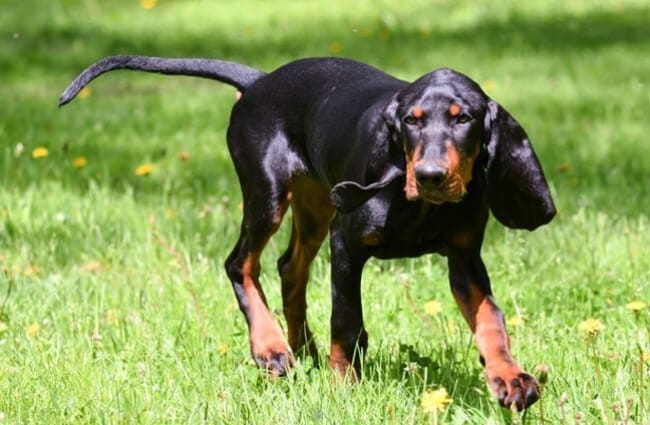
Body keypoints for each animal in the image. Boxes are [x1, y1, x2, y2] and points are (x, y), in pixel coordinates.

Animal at [59, 54, 552, 410]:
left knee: (288, 267)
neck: (420, 208)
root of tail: (260, 81)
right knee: (240, 263)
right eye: (411, 121)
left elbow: (491, 320)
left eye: (463, 118)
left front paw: (509, 378)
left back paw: (302, 345)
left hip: (316, 207)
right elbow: (346, 322)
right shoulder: (346, 245)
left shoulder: (465, 260)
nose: (430, 176)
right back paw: (271, 348)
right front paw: (343, 388)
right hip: (268, 195)